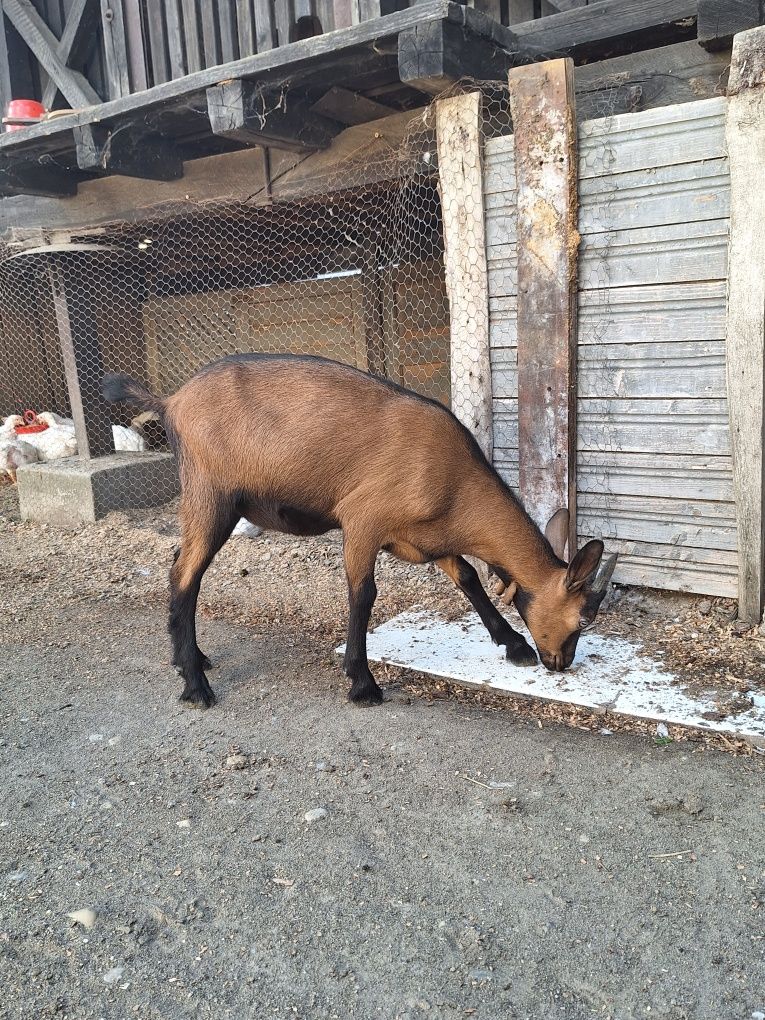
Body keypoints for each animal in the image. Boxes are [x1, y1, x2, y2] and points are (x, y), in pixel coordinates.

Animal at [102, 357, 616, 709]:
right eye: (582, 619)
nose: (561, 663)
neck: (455, 482)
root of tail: (170, 401)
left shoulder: (427, 538)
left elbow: (468, 578)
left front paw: (513, 645)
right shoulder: (362, 520)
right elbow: (363, 594)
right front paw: (362, 682)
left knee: (180, 567)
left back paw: (192, 659)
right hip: (212, 495)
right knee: (186, 576)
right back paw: (195, 684)